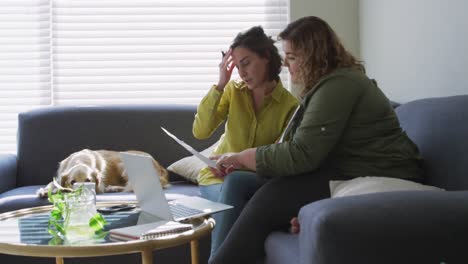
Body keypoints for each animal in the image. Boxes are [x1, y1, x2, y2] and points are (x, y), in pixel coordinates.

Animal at [36, 150, 168, 197]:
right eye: (72, 182)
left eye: (88, 181)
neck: (81, 160)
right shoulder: (60, 176)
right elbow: (52, 184)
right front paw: (44, 191)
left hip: (124, 165)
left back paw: (113, 188)